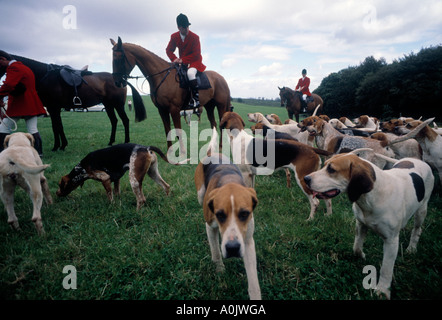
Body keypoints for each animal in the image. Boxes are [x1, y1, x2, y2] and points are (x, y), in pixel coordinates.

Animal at [0, 54, 146, 151]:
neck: (45, 75)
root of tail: (120, 80)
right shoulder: (53, 108)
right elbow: (57, 126)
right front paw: (60, 145)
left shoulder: (54, 107)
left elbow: (57, 127)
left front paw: (58, 146)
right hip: (108, 105)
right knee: (114, 121)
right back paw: (110, 142)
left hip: (118, 105)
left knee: (125, 120)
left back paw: (126, 141)